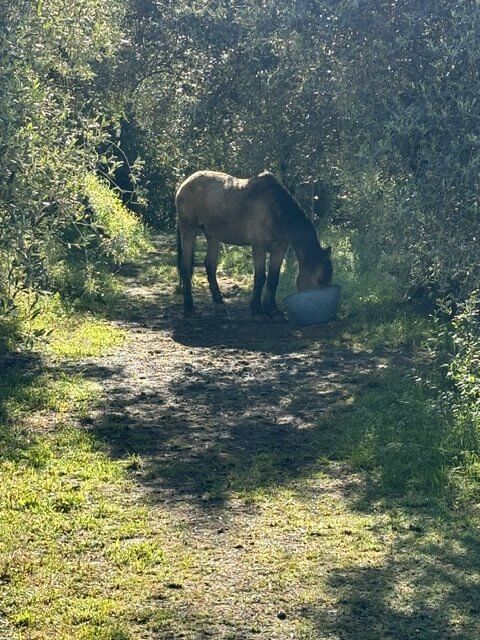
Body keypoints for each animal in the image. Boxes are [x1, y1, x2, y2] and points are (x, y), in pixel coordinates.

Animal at [175, 170, 333, 319]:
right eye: (320, 281)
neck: (274, 209)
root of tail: (185, 183)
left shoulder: (279, 250)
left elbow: (273, 278)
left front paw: (273, 310)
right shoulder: (259, 247)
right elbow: (260, 277)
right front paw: (257, 311)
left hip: (212, 236)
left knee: (210, 266)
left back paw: (219, 305)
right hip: (188, 231)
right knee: (186, 267)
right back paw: (190, 308)